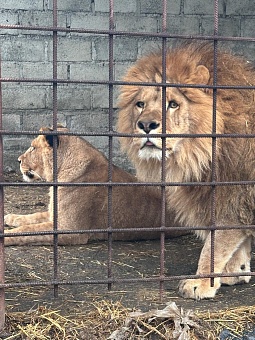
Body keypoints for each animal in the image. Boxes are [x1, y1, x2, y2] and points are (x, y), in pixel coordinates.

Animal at [3, 126, 185, 246]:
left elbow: (27, 231)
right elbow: (33, 217)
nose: (18, 160)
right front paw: (10, 217)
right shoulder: (56, 215)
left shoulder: (70, 229)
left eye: (33, 147)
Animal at [118, 41, 255, 298]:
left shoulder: (233, 197)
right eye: (140, 104)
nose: (146, 125)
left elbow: (214, 245)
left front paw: (201, 283)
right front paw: (236, 273)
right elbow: (236, 244)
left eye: (173, 104)